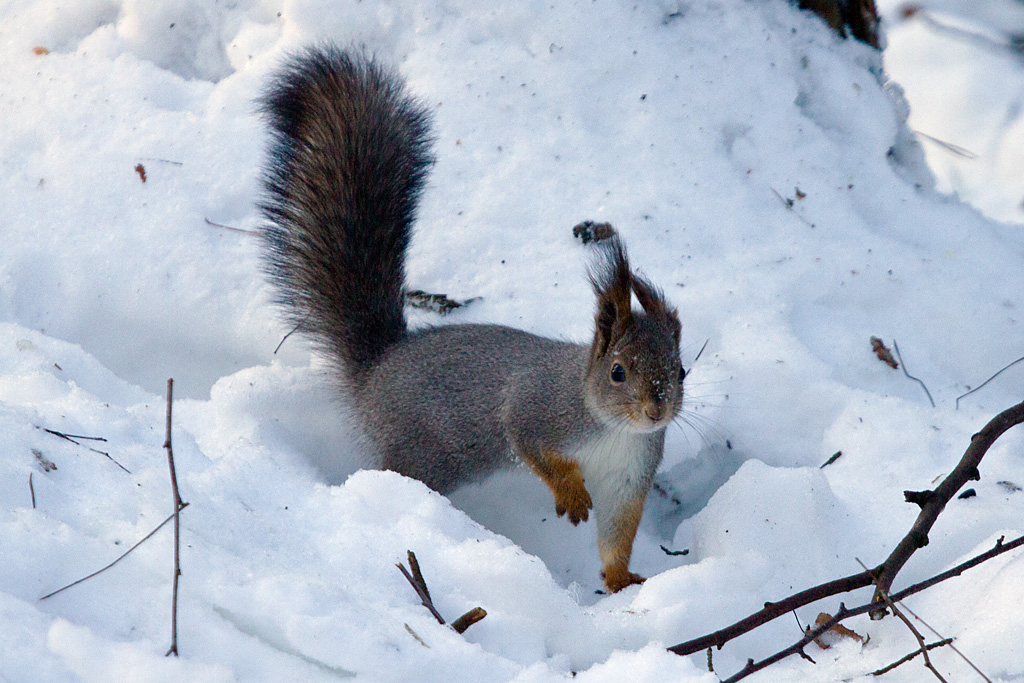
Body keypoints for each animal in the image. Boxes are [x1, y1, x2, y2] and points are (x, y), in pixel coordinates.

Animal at [260, 46, 684, 593]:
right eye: (617, 371)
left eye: (680, 371)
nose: (656, 411)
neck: (614, 431)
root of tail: (377, 366)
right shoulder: (536, 407)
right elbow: (527, 441)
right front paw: (570, 494)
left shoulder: (629, 477)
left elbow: (617, 534)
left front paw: (621, 580)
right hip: (419, 451)